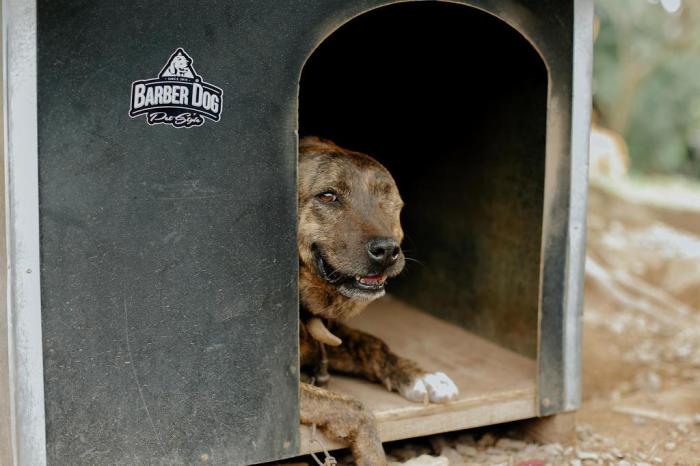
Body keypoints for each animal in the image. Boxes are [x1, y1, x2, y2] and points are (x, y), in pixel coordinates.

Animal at [296, 137, 456, 464]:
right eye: (328, 195)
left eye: (388, 198)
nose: (386, 250)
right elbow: (356, 410)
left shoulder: (330, 336)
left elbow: (373, 344)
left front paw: (422, 376)